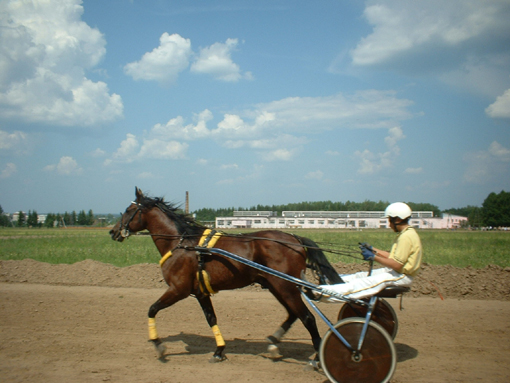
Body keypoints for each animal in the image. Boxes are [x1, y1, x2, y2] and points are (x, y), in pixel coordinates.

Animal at [111, 188, 342, 364]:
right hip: (276, 285)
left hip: (285, 286)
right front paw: (219, 350)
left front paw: (158, 345)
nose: (113, 232)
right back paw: (274, 343)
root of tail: (295, 238)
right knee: (294, 314)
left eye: (128, 210)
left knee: (307, 318)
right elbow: (211, 318)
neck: (182, 243)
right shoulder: (200, 292)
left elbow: (152, 309)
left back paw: (317, 356)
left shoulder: (178, 289)